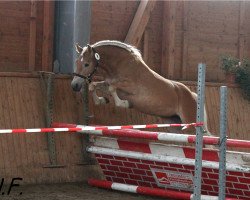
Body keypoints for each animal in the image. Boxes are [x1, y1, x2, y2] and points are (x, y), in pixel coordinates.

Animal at [71, 39, 210, 135]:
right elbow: (94, 86)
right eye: (76, 62)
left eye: (86, 64)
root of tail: (194, 96)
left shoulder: (128, 86)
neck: (121, 65)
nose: (74, 86)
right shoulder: (109, 83)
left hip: (190, 125)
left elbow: (112, 88)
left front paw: (125, 103)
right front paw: (101, 100)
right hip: (176, 123)